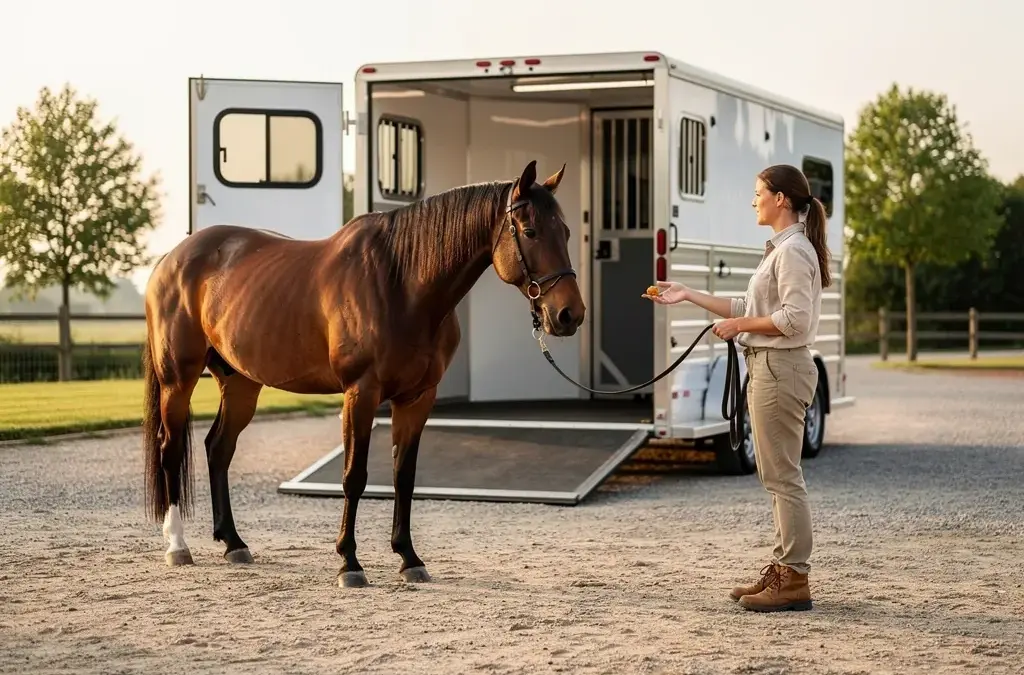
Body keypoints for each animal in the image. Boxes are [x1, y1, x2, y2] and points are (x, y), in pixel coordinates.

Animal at [141, 159, 585, 587]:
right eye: (529, 231)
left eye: (564, 231)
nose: (570, 315)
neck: (401, 284)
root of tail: (171, 259)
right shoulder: (361, 393)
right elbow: (354, 476)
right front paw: (349, 564)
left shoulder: (417, 398)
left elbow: (404, 476)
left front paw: (409, 559)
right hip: (178, 380)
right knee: (170, 449)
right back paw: (178, 546)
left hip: (240, 384)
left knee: (218, 448)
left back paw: (234, 543)